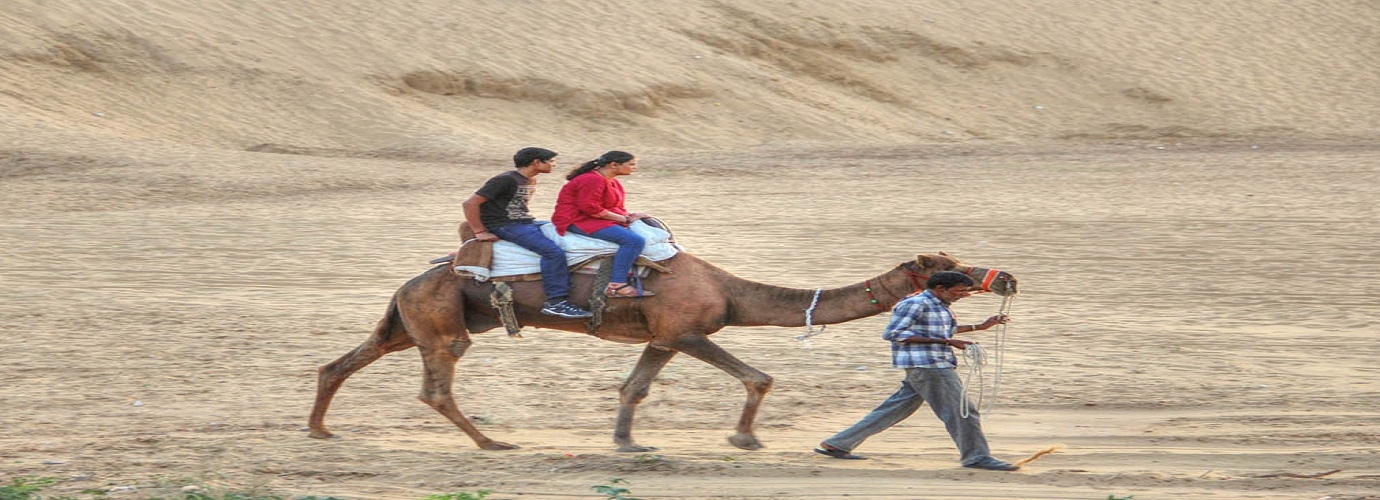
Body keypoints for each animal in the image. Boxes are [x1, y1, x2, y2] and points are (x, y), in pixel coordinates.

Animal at [316, 251, 1026, 450]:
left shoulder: (660, 337)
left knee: (346, 359)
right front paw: (746, 439)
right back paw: (493, 443)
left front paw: (626, 443)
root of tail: (409, 280)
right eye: (950, 267)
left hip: (409, 319)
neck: (730, 290)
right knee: (436, 383)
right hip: (444, 322)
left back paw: (319, 428)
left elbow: (635, 385)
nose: (1006, 279)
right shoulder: (686, 331)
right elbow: (759, 376)